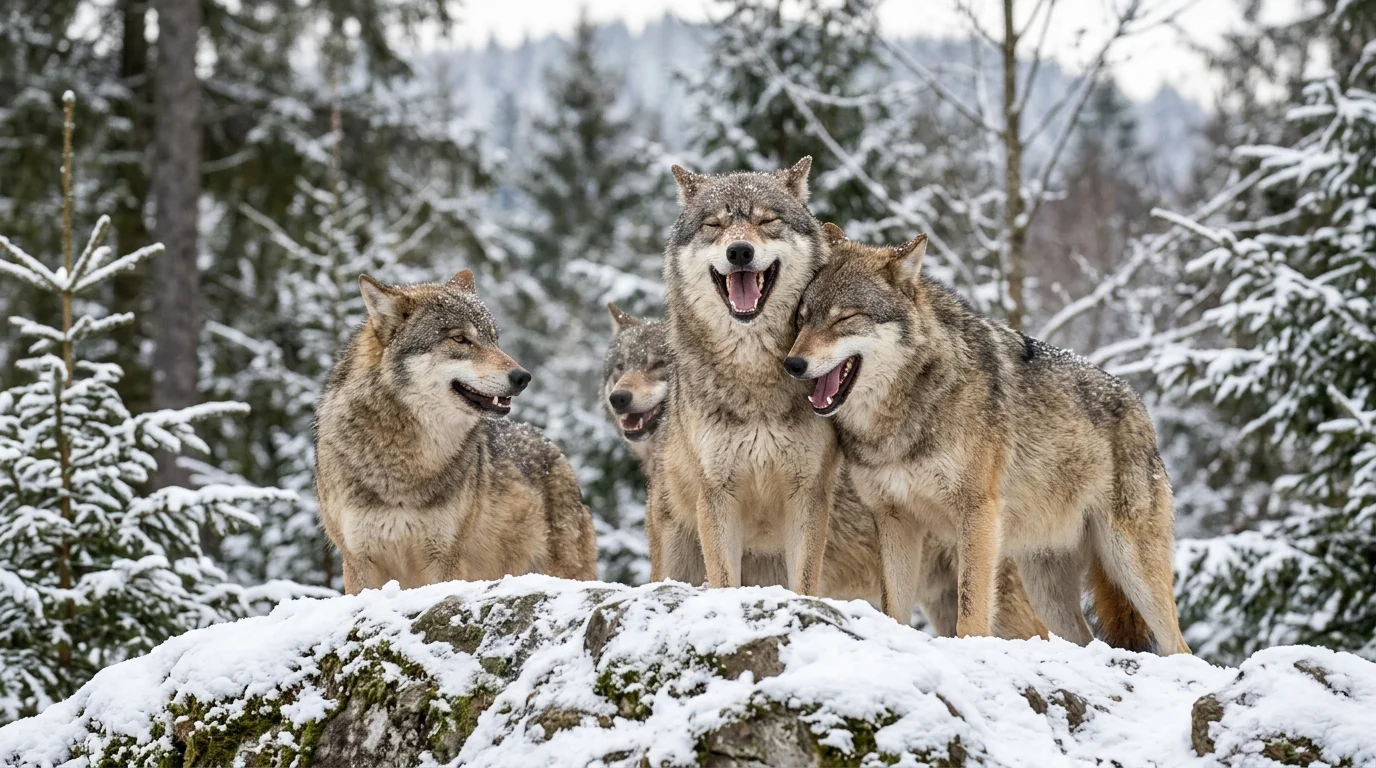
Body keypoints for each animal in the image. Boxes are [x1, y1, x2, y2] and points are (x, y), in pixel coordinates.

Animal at [315, 270, 597, 594]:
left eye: (494, 339)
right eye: (461, 339)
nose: (523, 377)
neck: (405, 462)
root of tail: (554, 449)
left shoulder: (445, 556)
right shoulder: (358, 559)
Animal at [651, 158, 839, 596]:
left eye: (767, 220)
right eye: (714, 225)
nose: (739, 251)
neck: (753, 375)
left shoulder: (809, 495)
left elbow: (804, 584)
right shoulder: (718, 496)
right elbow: (724, 581)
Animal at [784, 224, 1188, 654]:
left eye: (845, 318)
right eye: (802, 318)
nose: (792, 364)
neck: (903, 414)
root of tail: (1138, 404)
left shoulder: (977, 513)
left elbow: (971, 610)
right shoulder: (893, 518)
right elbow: (894, 608)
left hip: (1129, 565)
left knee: (1180, 647)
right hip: (1046, 584)